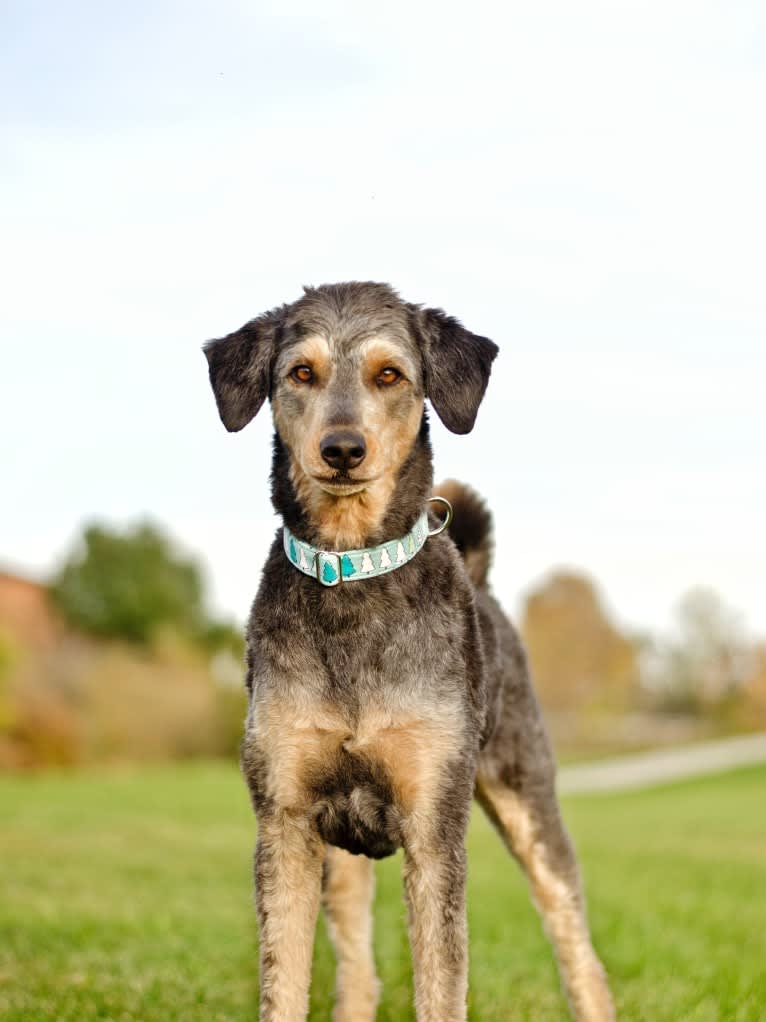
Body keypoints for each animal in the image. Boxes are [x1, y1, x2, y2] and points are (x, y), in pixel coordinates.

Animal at [205, 284, 616, 1021]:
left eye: (389, 375)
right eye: (301, 372)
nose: (342, 448)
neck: (351, 577)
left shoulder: (433, 827)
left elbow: (441, 984)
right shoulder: (285, 820)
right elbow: (283, 982)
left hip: (529, 801)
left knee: (580, 953)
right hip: (340, 857)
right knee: (359, 974)